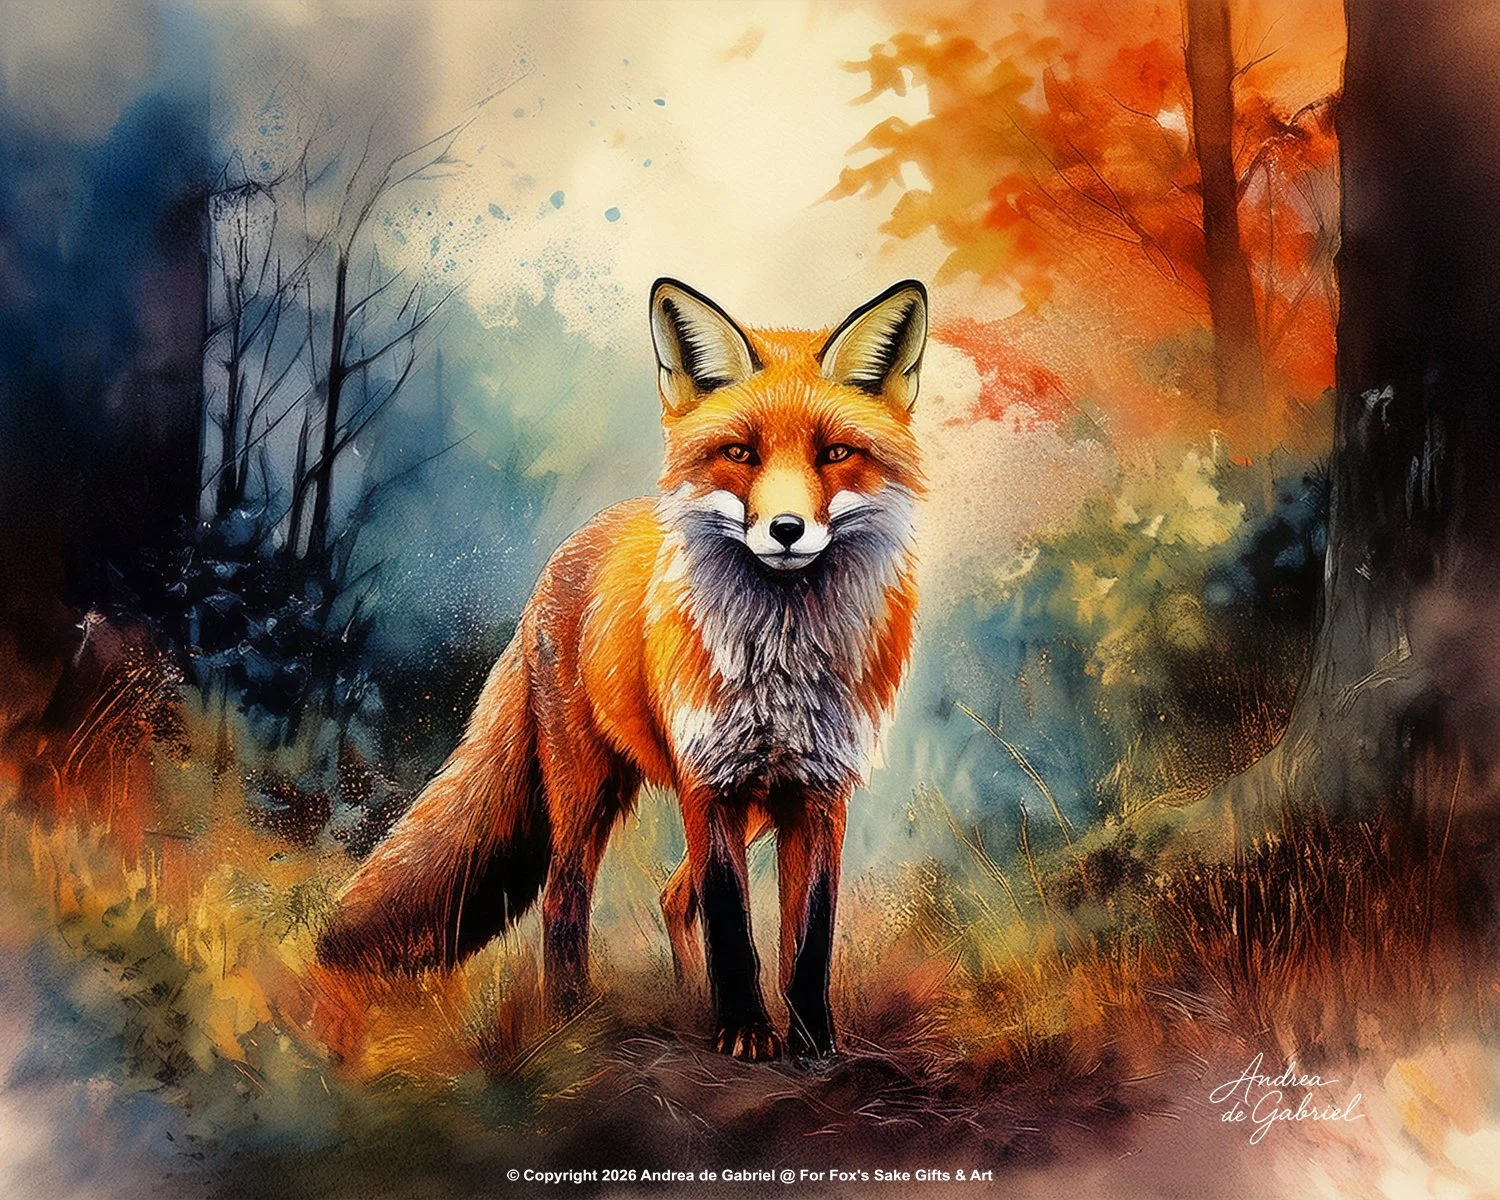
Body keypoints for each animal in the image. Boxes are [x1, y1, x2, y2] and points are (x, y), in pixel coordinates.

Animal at [316, 276, 927, 1062]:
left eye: (835, 453)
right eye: (741, 452)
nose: (787, 530)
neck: (780, 658)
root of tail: (571, 547)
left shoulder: (820, 793)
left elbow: (809, 936)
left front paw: (812, 1041)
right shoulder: (708, 782)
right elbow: (733, 924)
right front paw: (745, 1032)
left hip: (749, 807)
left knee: (671, 896)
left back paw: (685, 998)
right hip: (588, 786)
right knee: (564, 895)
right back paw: (573, 1017)